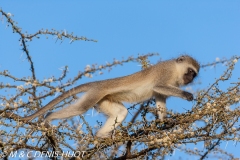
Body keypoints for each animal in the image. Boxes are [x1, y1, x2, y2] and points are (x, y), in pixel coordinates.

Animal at [22, 55, 199, 138]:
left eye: (194, 74)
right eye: (190, 71)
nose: (191, 79)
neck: (176, 70)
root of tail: (98, 84)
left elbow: (160, 96)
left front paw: (163, 121)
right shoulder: (166, 73)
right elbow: (158, 87)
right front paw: (187, 94)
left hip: (102, 99)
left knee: (121, 112)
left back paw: (101, 136)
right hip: (96, 94)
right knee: (81, 108)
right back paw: (49, 117)